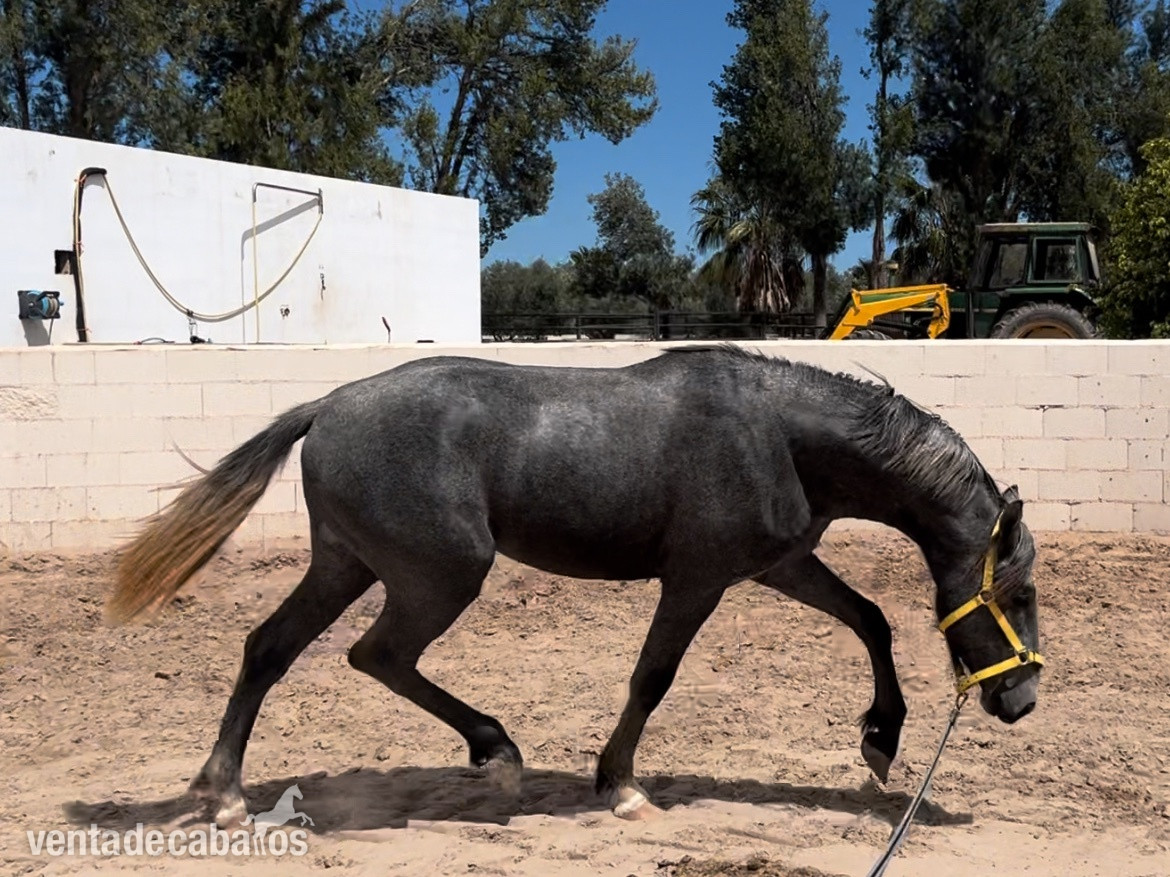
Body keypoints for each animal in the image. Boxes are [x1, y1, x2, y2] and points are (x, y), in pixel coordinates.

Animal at [107, 345, 1044, 824]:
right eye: (1019, 593)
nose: (1023, 700)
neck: (779, 430)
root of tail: (326, 404)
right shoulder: (699, 576)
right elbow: (653, 676)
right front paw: (620, 783)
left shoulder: (777, 564)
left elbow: (872, 618)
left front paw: (881, 738)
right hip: (441, 573)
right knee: (375, 653)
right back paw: (493, 750)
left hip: (347, 564)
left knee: (273, 649)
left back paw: (227, 792)